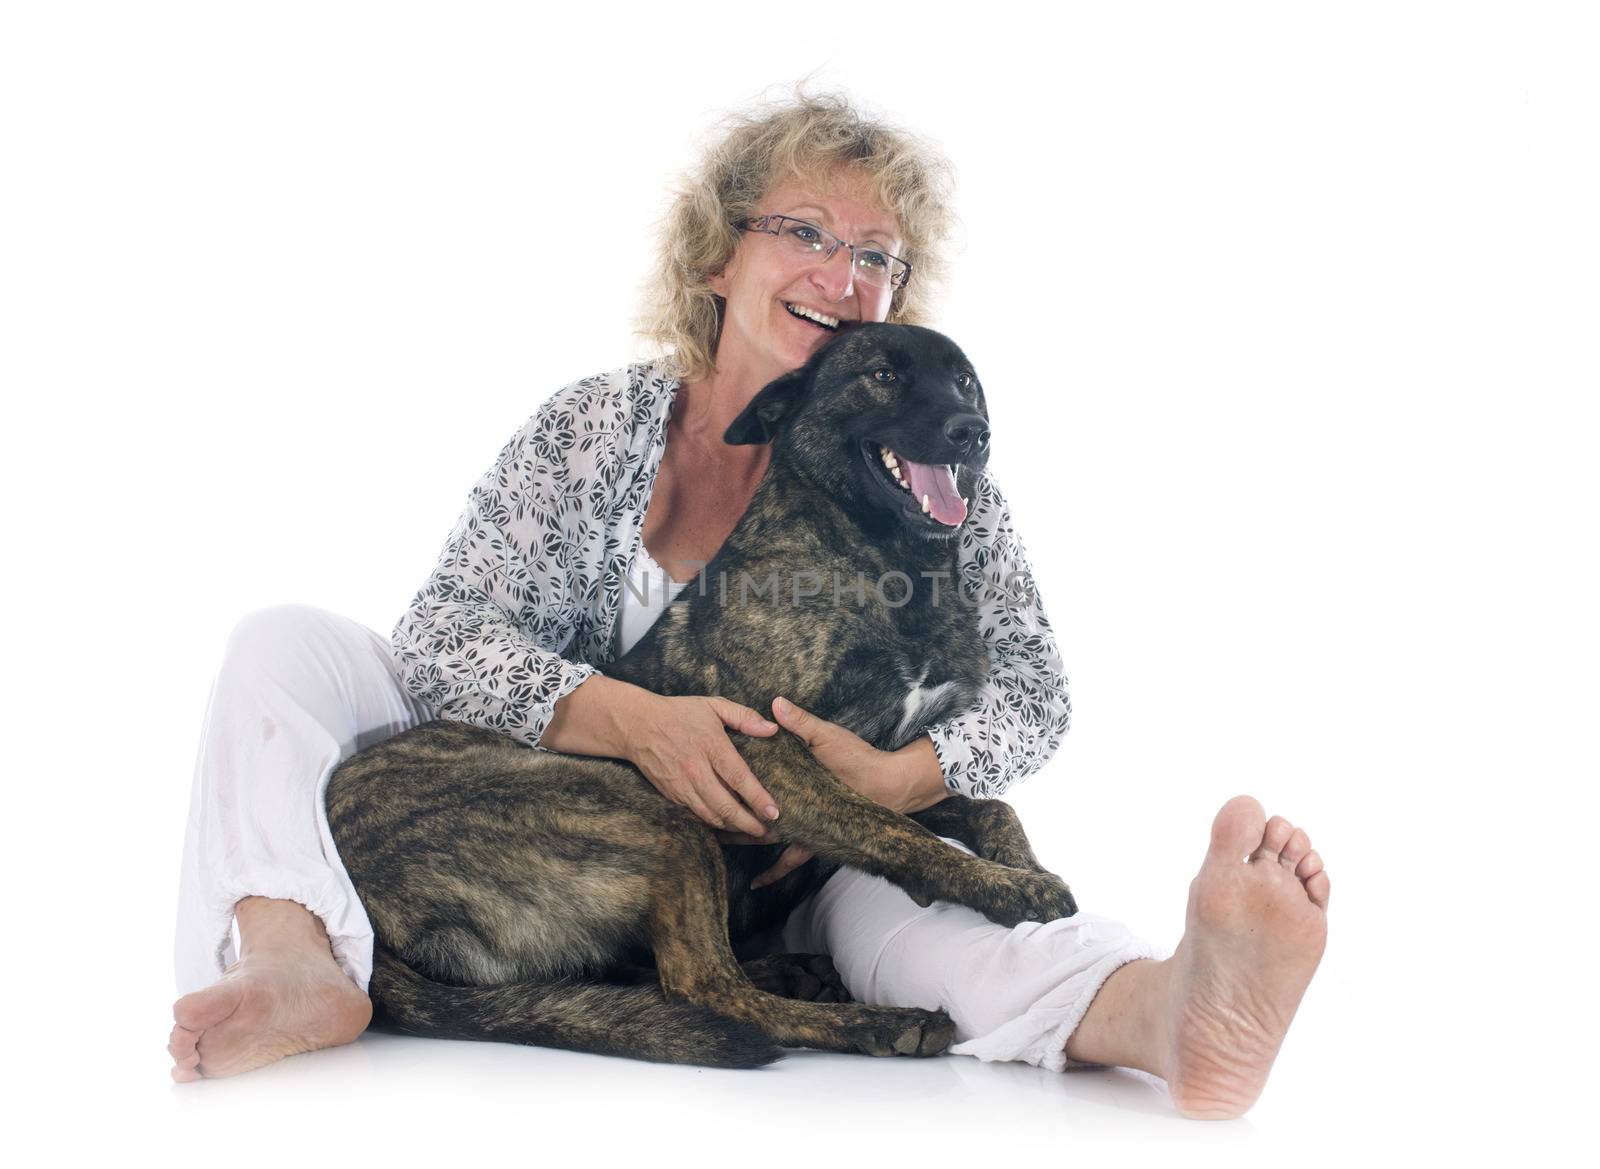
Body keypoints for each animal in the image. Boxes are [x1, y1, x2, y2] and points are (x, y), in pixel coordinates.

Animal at [324, 323, 1075, 1068]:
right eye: (884, 375)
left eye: (966, 381)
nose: (972, 431)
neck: (891, 564)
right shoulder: (765, 751)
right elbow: (899, 829)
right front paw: (1013, 887)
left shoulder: (888, 765)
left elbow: (987, 807)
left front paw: (1021, 864)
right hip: (649, 814)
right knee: (705, 985)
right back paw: (878, 1022)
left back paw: (796, 973)